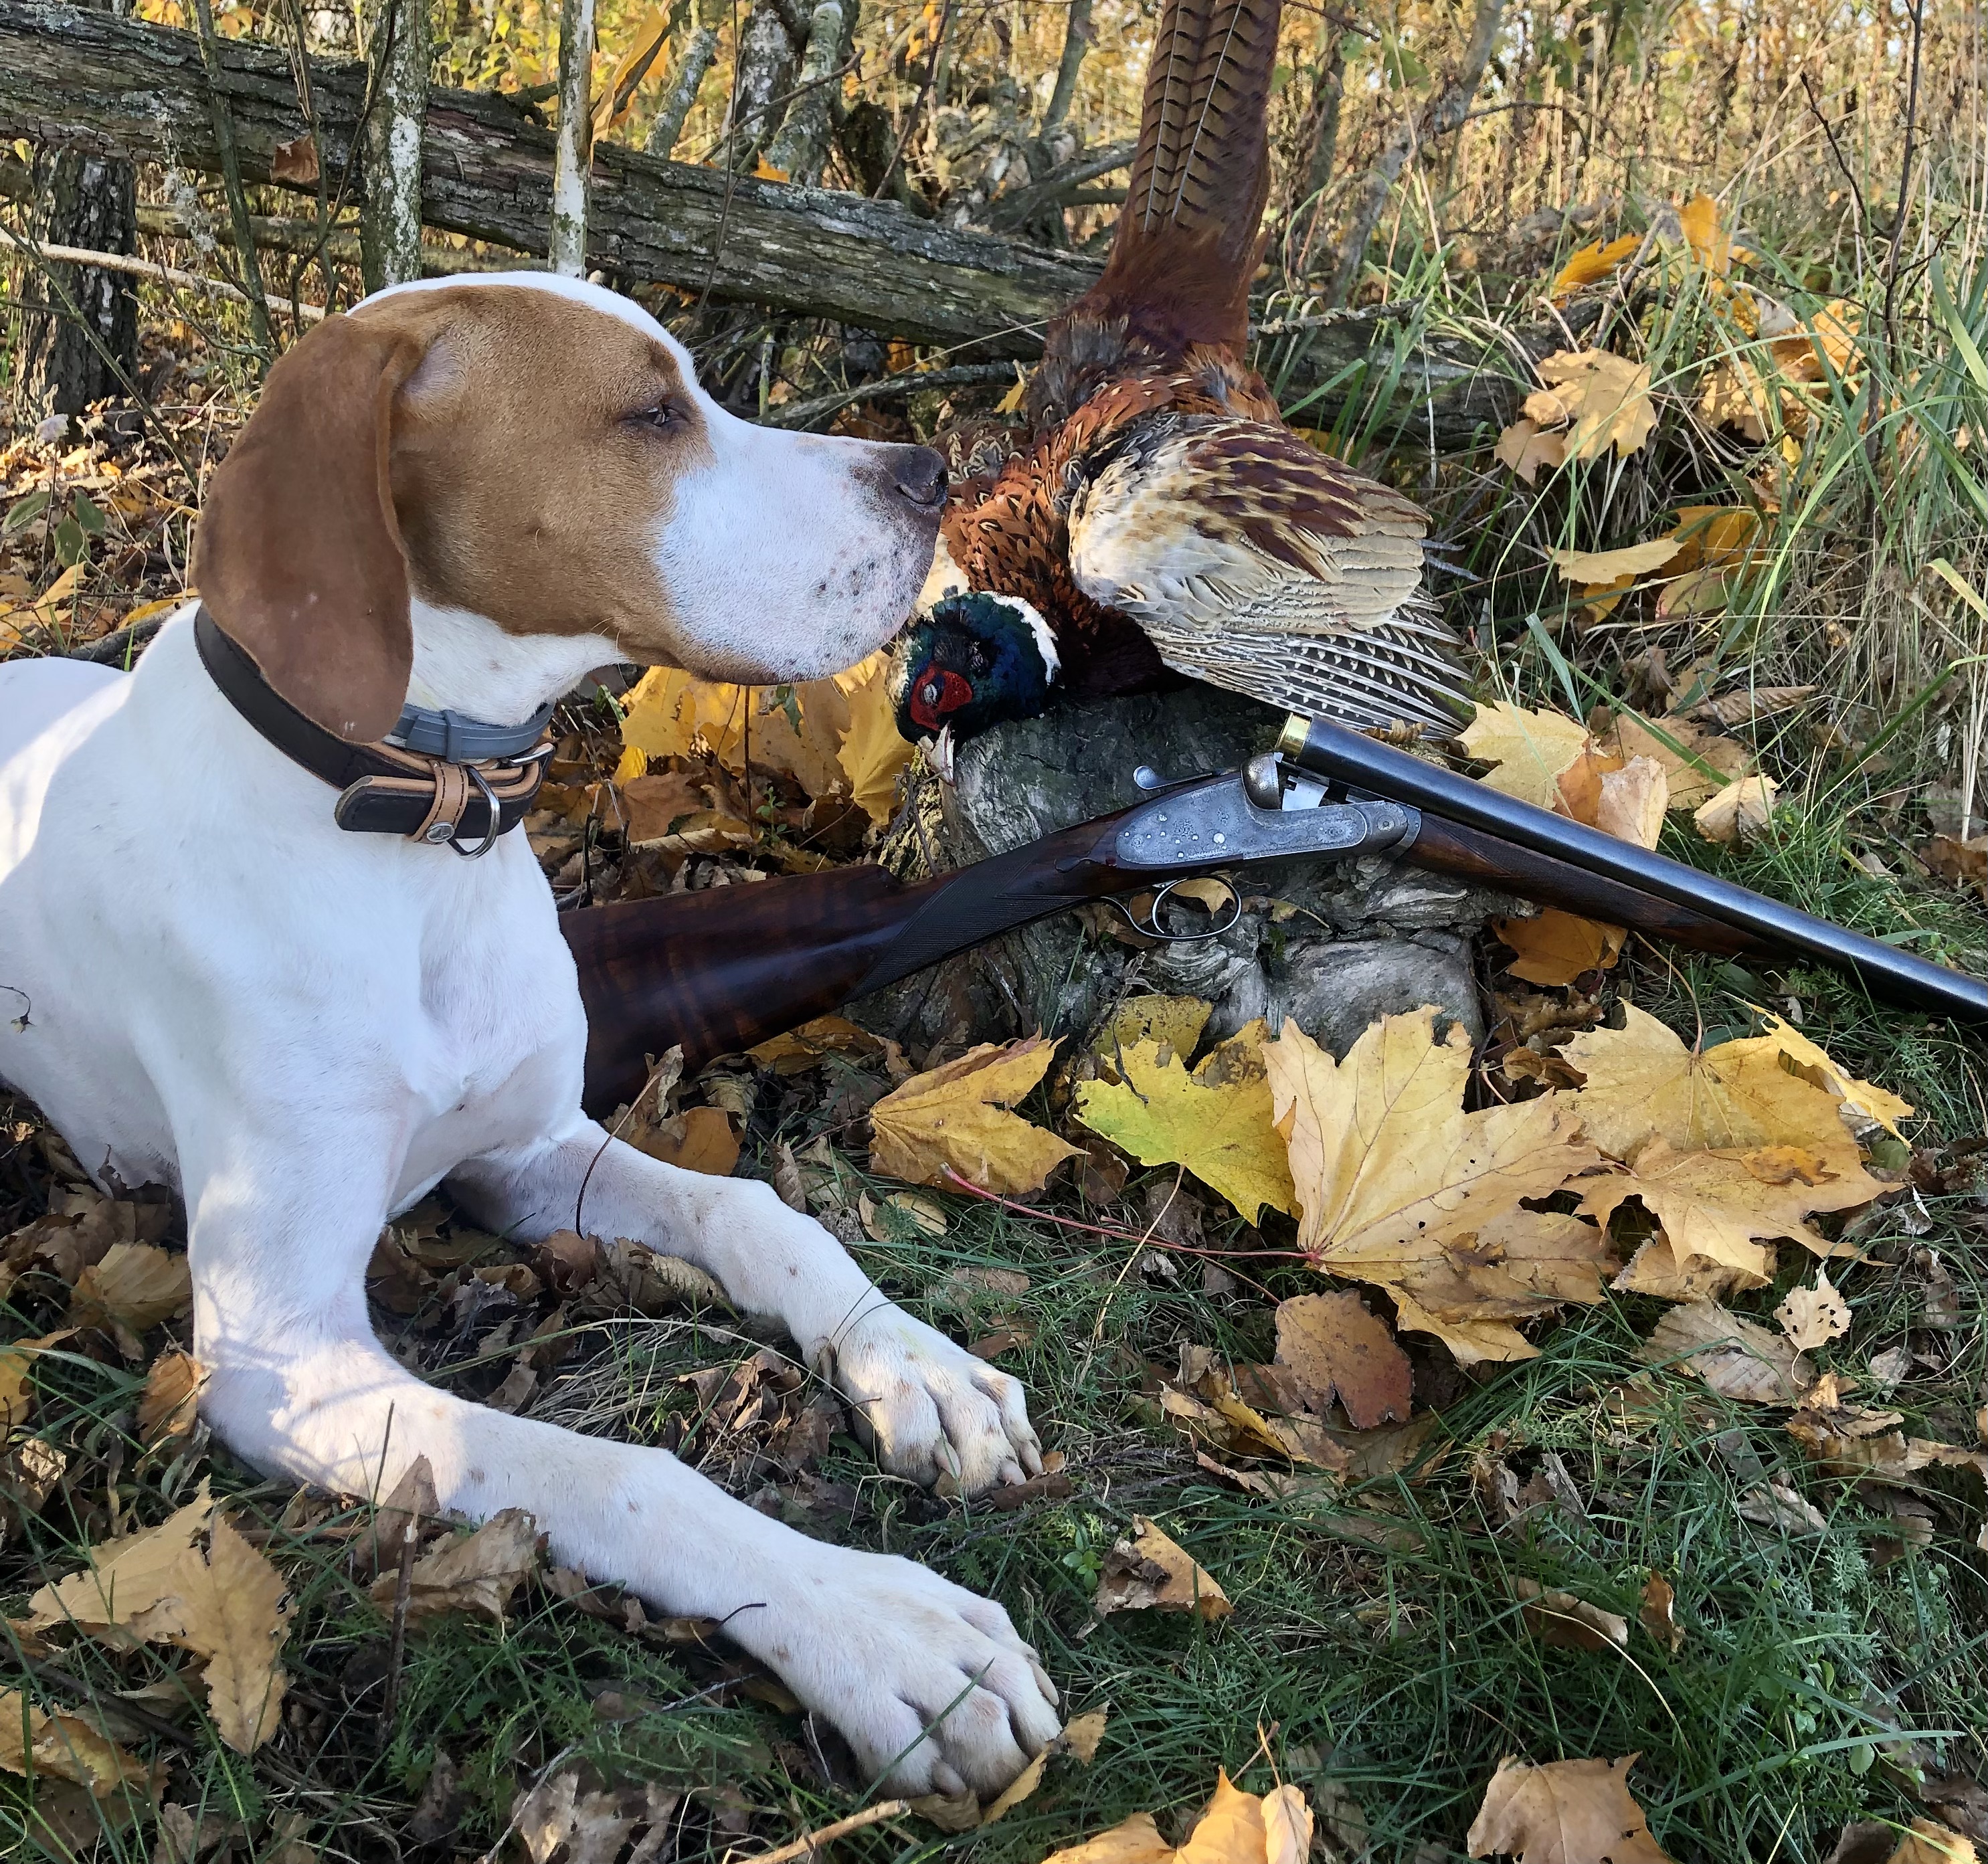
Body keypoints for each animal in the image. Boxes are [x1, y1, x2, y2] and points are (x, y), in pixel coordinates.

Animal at [0, 272, 1065, 1788]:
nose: (932, 473)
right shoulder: (282, 1356)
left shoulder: (527, 1149)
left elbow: (762, 1213)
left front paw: (920, 1366)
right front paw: (879, 1629)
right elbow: (621, 1471)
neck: (412, 837)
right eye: (648, 414)